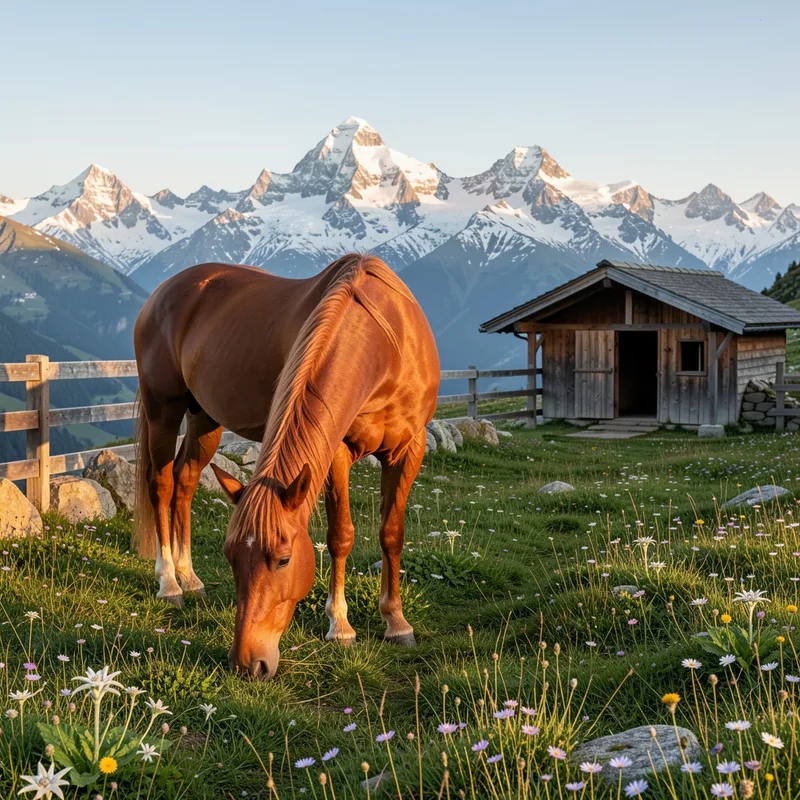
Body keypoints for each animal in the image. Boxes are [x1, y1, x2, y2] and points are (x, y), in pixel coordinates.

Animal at [133, 253, 440, 678]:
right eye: (230, 557)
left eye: (283, 560)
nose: (247, 663)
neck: (386, 344)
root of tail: (161, 294)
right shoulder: (337, 450)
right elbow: (341, 535)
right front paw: (340, 626)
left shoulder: (410, 449)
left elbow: (391, 534)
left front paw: (396, 623)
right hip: (163, 409)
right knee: (161, 486)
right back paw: (169, 584)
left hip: (204, 419)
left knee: (185, 483)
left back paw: (189, 577)